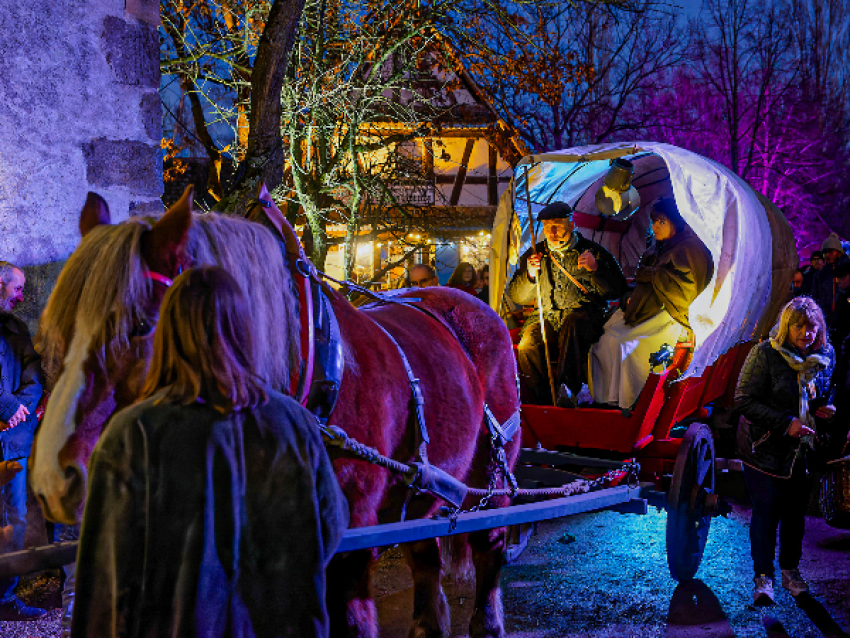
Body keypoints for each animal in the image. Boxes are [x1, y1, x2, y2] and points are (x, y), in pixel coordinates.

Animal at [29, 186, 520, 638]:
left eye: (140, 326)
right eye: (54, 331)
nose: (53, 480)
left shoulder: (351, 543)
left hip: (491, 480)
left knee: (489, 546)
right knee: (426, 559)